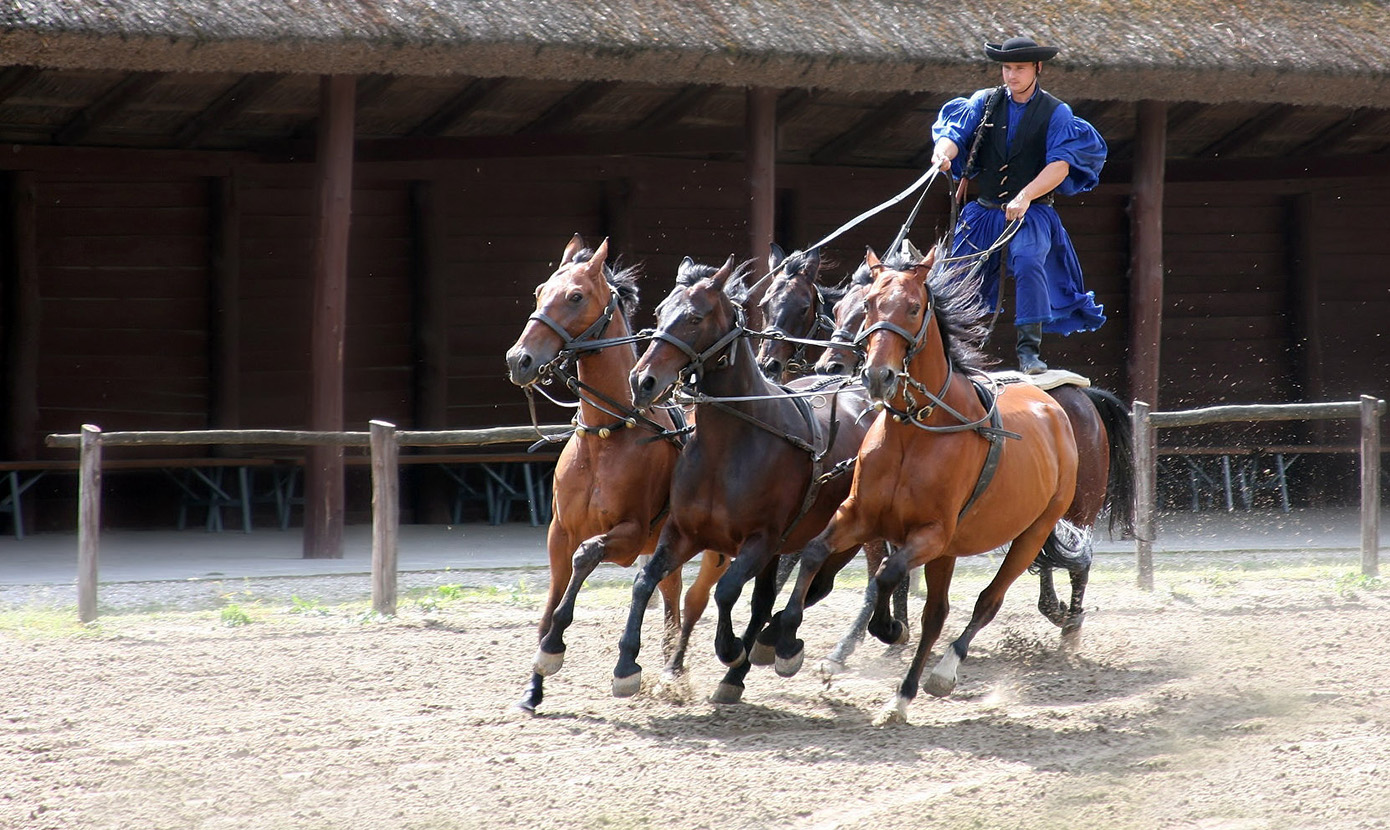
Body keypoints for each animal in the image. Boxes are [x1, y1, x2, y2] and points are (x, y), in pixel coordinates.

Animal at [617, 250, 872, 697]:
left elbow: (727, 591)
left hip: (847, 535)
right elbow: (645, 581)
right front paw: (627, 664)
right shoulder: (683, 533)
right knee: (769, 598)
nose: (642, 380)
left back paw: (778, 645)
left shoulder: (761, 540)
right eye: (661, 311)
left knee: (816, 585)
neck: (729, 447)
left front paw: (732, 649)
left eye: (695, 317)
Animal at [772, 244, 1084, 717]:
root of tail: (1051, 408)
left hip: (1031, 532)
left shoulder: (931, 534)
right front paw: (785, 640)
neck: (915, 433)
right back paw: (904, 692)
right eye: (869, 305)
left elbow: (886, 575)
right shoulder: (858, 515)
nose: (877, 375)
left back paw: (938, 674)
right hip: (951, 552)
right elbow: (812, 554)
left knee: (986, 602)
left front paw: (886, 627)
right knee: (936, 614)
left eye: (914, 307)